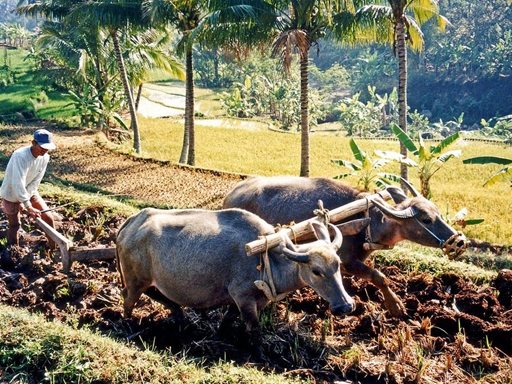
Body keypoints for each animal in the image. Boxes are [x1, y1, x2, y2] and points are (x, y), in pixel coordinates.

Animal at [114, 207, 366, 336]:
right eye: (316, 271)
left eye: (338, 265)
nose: (346, 306)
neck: (268, 259)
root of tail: (131, 222)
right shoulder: (243, 298)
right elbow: (253, 331)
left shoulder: (243, 301)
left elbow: (228, 320)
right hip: (135, 280)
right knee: (128, 300)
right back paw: (128, 325)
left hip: (147, 281)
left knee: (157, 295)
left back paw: (180, 316)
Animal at [224, 176, 468, 316]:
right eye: (426, 219)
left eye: (438, 212)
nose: (460, 241)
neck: (367, 221)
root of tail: (231, 194)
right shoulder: (349, 261)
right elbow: (379, 277)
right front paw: (396, 306)